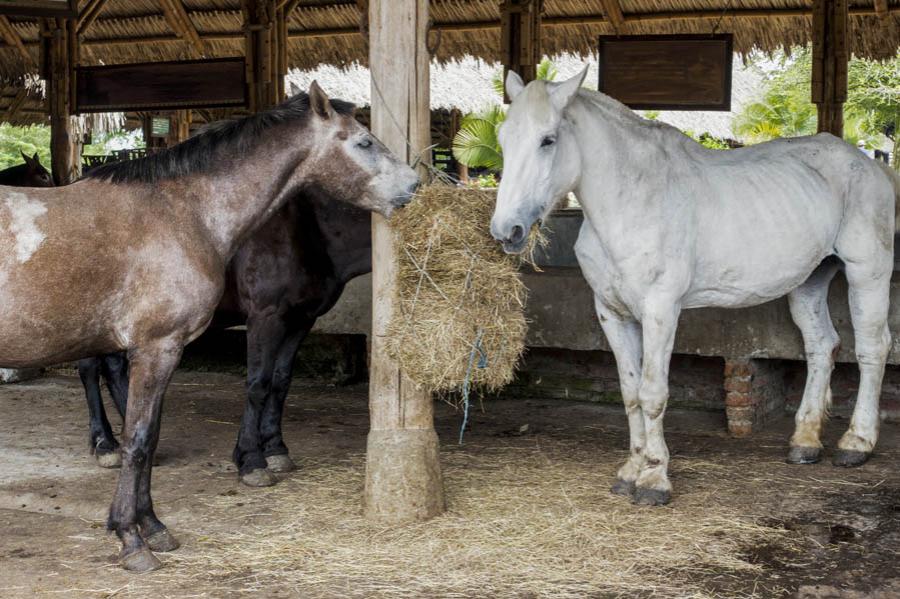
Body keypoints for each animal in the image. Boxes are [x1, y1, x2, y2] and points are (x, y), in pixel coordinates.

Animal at [79, 188, 370, 488]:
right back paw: (105, 444)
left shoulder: (301, 320)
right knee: (90, 369)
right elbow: (258, 385)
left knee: (113, 368)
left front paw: (275, 448)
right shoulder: (266, 317)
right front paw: (251, 460)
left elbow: (280, 382)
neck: (311, 227)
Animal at [492, 67, 900, 506]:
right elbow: (630, 392)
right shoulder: (611, 313)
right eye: (503, 138)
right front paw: (631, 470)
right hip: (809, 281)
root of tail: (868, 165)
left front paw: (654, 478)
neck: (634, 200)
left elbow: (653, 393)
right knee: (822, 346)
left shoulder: (660, 310)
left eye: (548, 139)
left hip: (867, 274)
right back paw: (805, 441)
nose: (506, 231)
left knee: (872, 349)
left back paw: (855, 443)